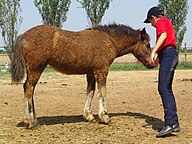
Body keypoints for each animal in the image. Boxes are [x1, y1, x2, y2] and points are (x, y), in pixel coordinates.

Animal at [11, 23, 153, 128]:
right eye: (148, 45)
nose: (153, 63)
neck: (109, 39)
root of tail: (23, 35)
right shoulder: (102, 70)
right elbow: (102, 92)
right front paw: (105, 117)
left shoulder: (90, 72)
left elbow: (90, 91)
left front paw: (89, 116)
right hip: (36, 68)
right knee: (29, 88)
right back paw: (31, 121)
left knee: (29, 89)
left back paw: (31, 119)